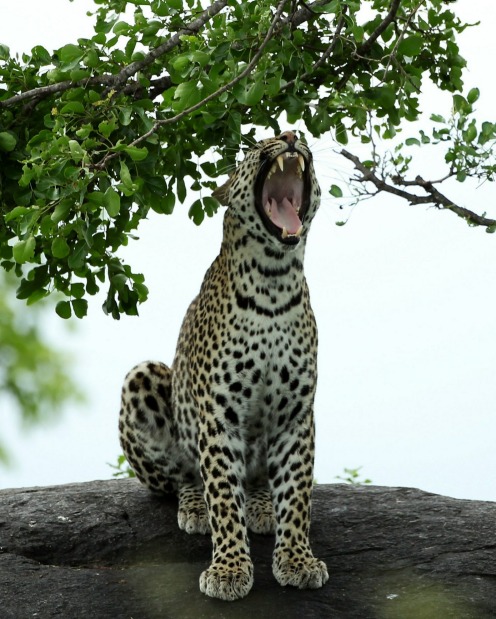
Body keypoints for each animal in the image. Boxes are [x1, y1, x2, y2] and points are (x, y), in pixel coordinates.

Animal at [118, 130, 330, 600]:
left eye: (291, 134)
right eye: (263, 142)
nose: (291, 135)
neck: (274, 280)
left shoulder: (296, 415)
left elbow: (297, 495)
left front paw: (296, 560)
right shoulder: (219, 414)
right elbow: (222, 498)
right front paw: (230, 569)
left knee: (257, 481)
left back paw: (263, 506)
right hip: (144, 379)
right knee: (185, 477)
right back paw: (195, 507)